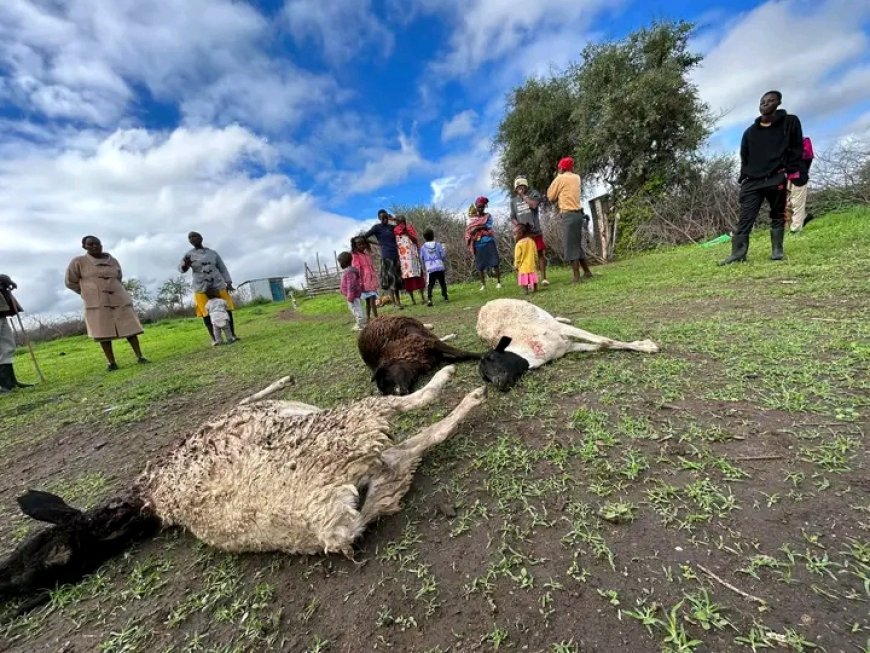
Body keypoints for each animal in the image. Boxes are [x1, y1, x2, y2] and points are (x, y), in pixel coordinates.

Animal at [0, 366, 488, 608]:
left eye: (42, 558)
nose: (11, 593)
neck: (147, 501)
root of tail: (330, 522)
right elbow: (251, 397)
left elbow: (251, 395)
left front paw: (285, 380)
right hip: (347, 430)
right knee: (405, 413)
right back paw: (456, 387)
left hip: (378, 472)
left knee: (413, 443)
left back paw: (462, 399)